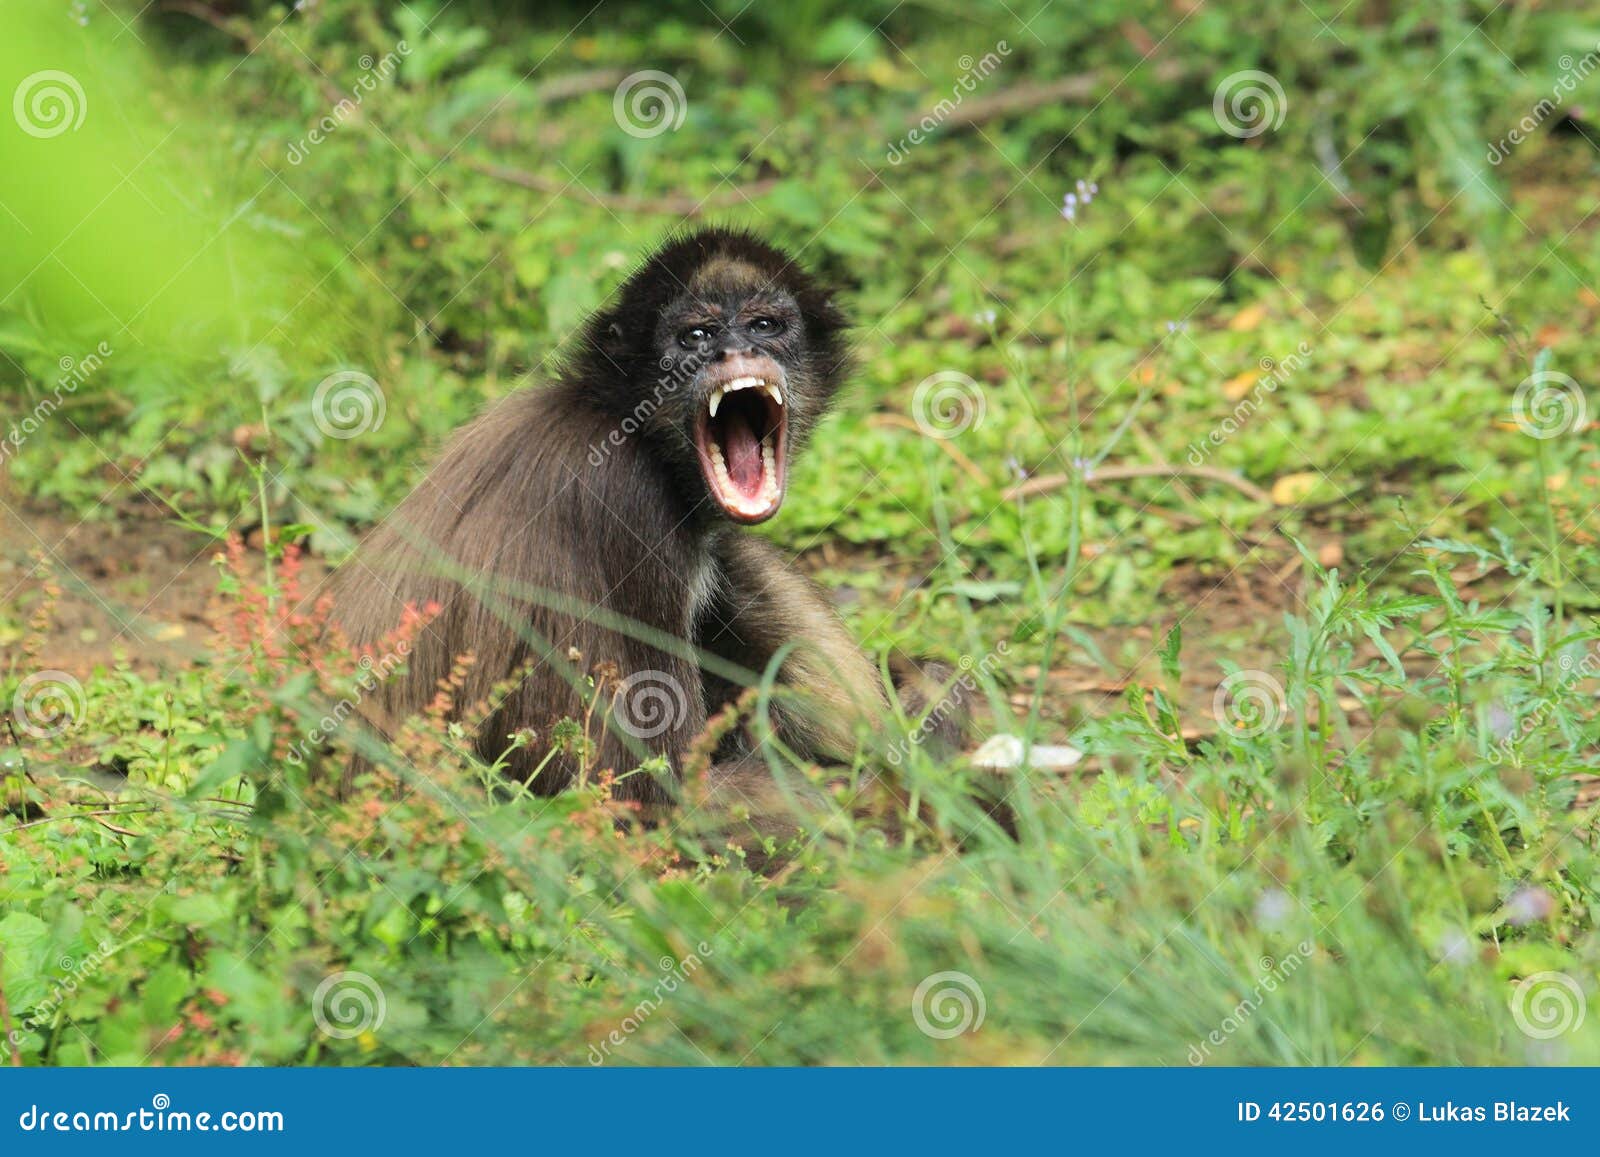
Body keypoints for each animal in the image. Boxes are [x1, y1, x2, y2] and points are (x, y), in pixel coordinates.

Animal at [326, 225, 947, 825]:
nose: (734, 348)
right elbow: (657, 798)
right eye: (695, 337)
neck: (618, 424)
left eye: (765, 325)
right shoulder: (629, 501)